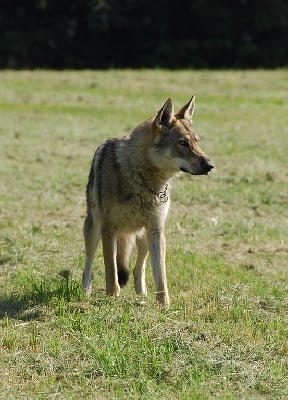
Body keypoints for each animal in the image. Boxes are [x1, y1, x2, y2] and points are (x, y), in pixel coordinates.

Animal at [82, 97, 213, 306]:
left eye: (197, 142)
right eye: (182, 143)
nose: (210, 165)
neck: (142, 180)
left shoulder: (156, 231)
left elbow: (161, 275)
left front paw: (164, 305)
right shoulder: (108, 229)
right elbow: (111, 270)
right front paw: (112, 298)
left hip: (143, 238)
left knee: (138, 269)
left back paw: (141, 295)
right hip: (94, 230)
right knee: (89, 265)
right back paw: (86, 291)